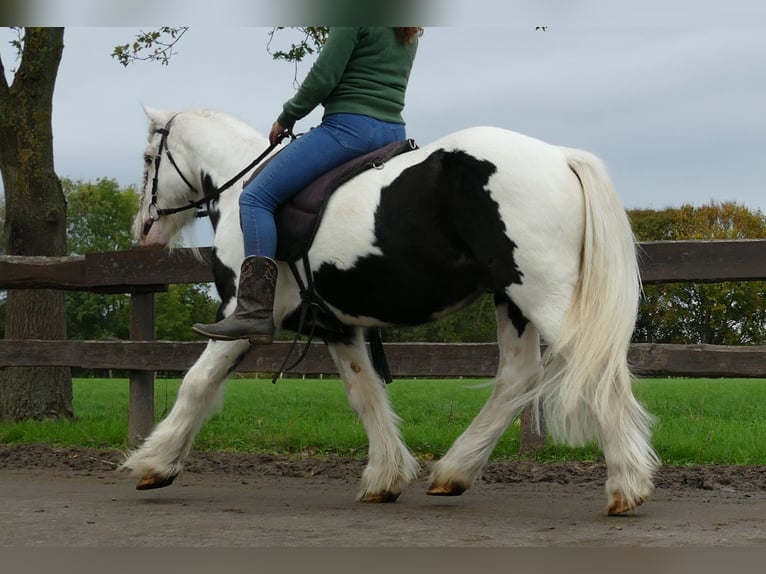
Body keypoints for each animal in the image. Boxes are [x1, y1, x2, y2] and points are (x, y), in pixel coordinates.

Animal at [124, 108, 660, 516]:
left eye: (149, 159)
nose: (143, 229)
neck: (244, 191)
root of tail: (561, 157)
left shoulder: (240, 317)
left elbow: (196, 384)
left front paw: (153, 462)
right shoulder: (337, 327)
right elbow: (365, 394)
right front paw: (385, 477)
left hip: (541, 296)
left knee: (596, 374)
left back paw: (626, 487)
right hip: (513, 299)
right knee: (517, 378)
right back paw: (453, 472)